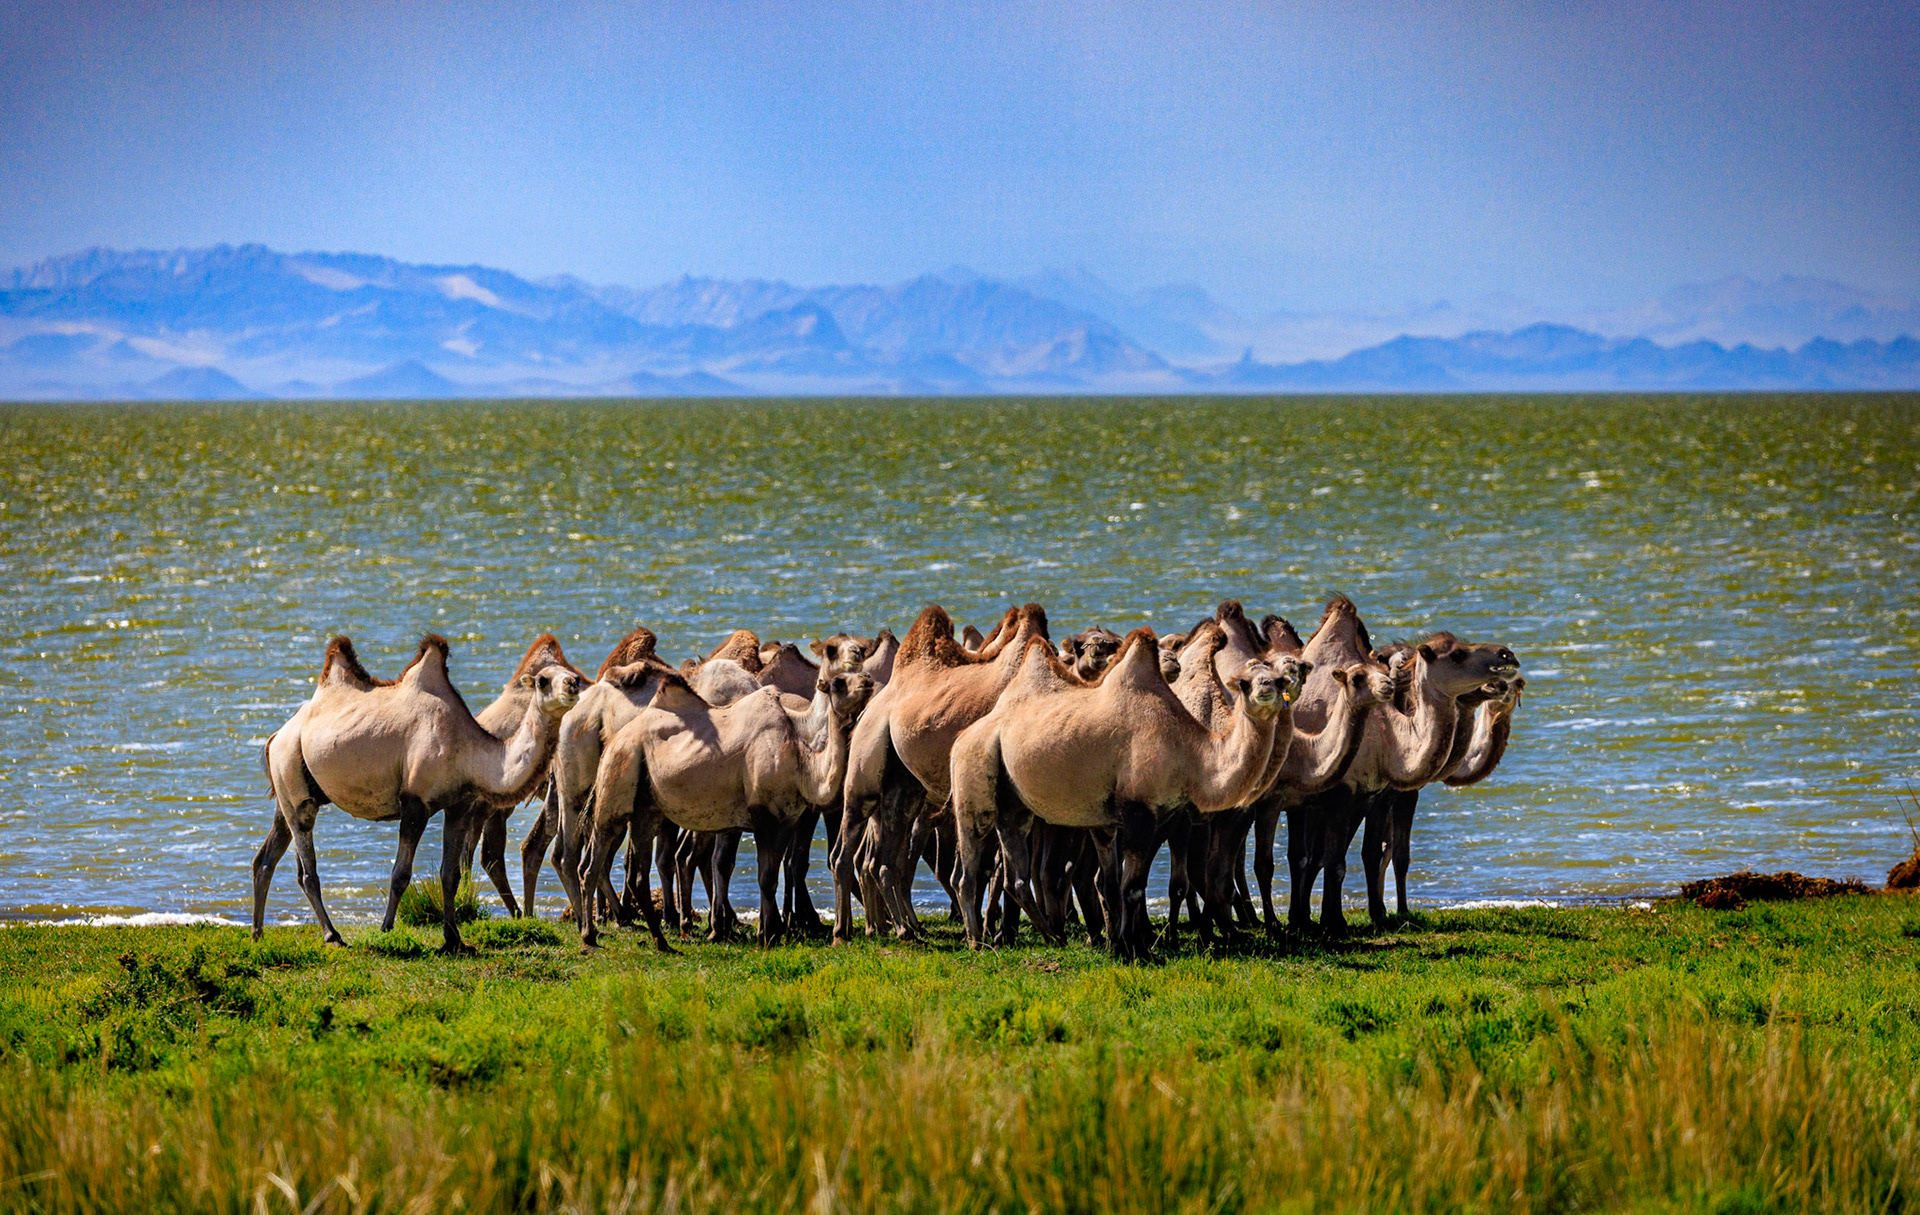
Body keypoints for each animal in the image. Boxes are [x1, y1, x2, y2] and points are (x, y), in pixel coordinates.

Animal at [255, 634, 581, 953]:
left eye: (573, 674)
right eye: (543, 680)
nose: (573, 684)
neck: (468, 750)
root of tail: (276, 736)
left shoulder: (459, 805)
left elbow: (450, 874)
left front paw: (454, 940)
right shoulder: (415, 803)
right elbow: (401, 874)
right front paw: (387, 929)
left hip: (290, 790)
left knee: (267, 857)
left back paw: (258, 934)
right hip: (293, 774)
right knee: (307, 868)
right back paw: (332, 935)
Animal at [579, 670, 874, 950]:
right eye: (838, 683)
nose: (868, 679)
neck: (803, 765)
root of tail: (612, 741)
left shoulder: (786, 819)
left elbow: (772, 873)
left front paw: (771, 932)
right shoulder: (764, 816)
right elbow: (766, 878)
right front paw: (768, 935)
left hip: (646, 809)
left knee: (640, 874)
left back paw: (662, 942)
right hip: (617, 779)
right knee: (593, 862)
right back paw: (590, 936)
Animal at [833, 603, 1049, 942]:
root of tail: (870, 708)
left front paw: (995, 928)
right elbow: (996, 867)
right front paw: (996, 931)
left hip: (907, 789)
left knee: (887, 859)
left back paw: (902, 927)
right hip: (863, 776)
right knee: (848, 850)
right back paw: (845, 930)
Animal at [950, 628, 1283, 958]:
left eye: (1280, 680)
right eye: (1244, 683)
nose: (1266, 688)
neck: (1189, 752)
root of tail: (964, 735)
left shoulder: (1142, 817)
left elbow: (1113, 884)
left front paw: (1120, 944)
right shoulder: (1139, 810)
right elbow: (1131, 887)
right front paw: (1137, 950)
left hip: (1013, 804)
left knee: (1015, 873)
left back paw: (1053, 937)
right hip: (972, 776)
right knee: (968, 865)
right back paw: (976, 940)